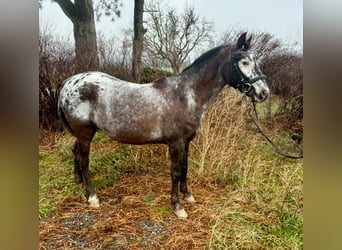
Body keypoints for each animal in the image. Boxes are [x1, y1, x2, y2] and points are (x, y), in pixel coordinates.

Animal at [57, 32, 268, 218]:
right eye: (244, 62)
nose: (264, 92)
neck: (186, 94)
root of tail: (68, 83)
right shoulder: (175, 143)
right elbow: (175, 172)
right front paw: (178, 207)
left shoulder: (186, 142)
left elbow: (185, 168)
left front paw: (187, 195)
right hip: (85, 132)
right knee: (84, 160)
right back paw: (92, 197)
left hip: (83, 133)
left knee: (75, 152)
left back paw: (78, 182)